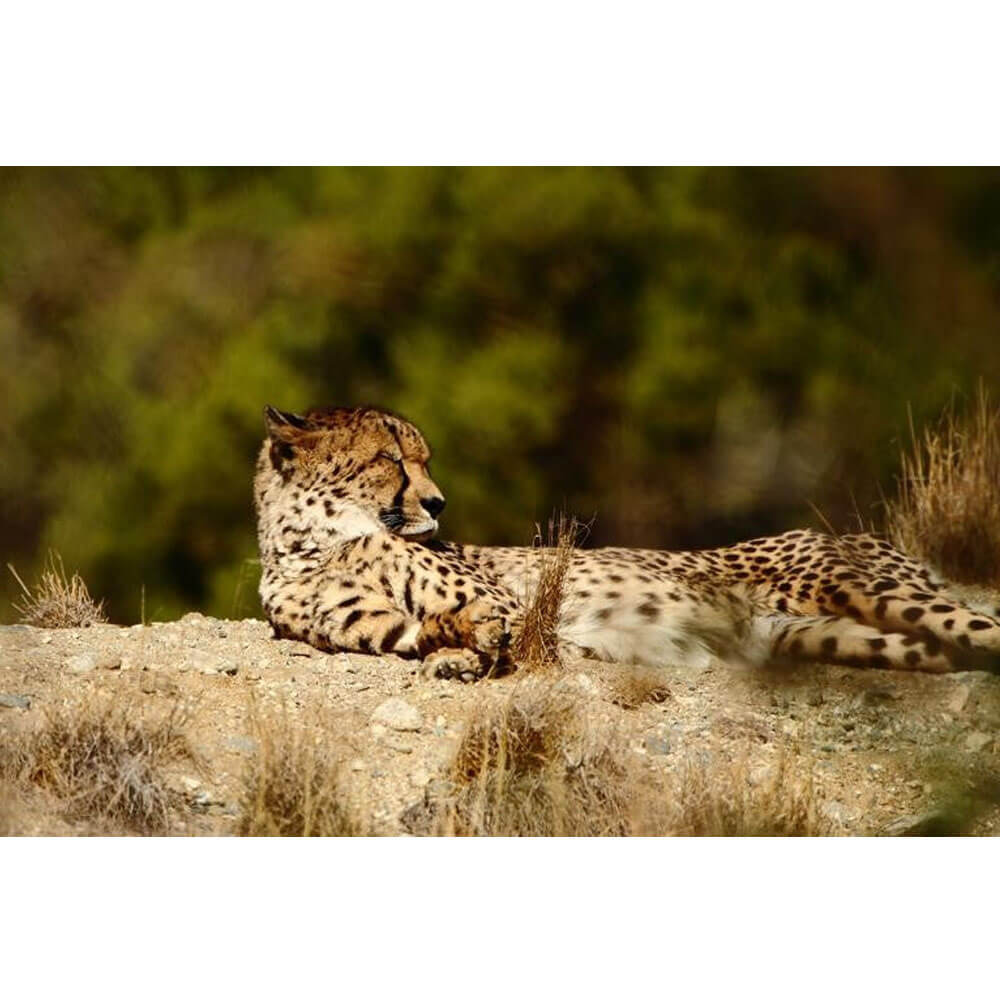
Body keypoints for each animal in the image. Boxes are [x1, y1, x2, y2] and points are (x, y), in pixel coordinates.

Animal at [254, 404, 1000, 681]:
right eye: (390, 460)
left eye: (423, 460)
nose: (437, 503)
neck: (318, 541)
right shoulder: (376, 626)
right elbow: (428, 629)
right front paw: (455, 655)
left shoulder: (512, 602)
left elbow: (493, 619)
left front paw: (475, 651)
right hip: (825, 637)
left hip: (861, 588)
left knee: (978, 625)